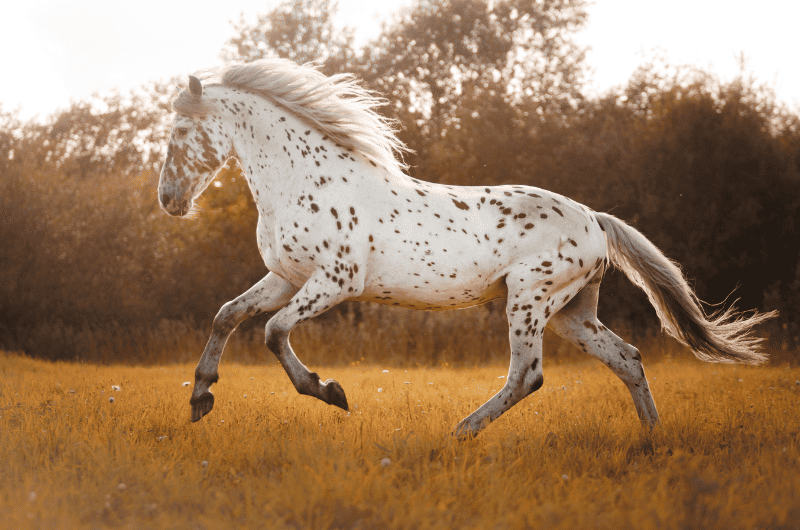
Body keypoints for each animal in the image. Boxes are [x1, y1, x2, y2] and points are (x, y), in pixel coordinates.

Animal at [158, 58, 773, 438]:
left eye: (180, 132)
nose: (169, 201)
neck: (306, 179)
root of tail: (595, 221)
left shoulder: (335, 281)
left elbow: (272, 331)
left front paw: (330, 392)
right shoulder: (286, 277)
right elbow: (227, 315)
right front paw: (200, 399)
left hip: (528, 299)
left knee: (527, 375)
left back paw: (458, 432)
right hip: (572, 312)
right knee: (627, 358)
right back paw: (650, 438)